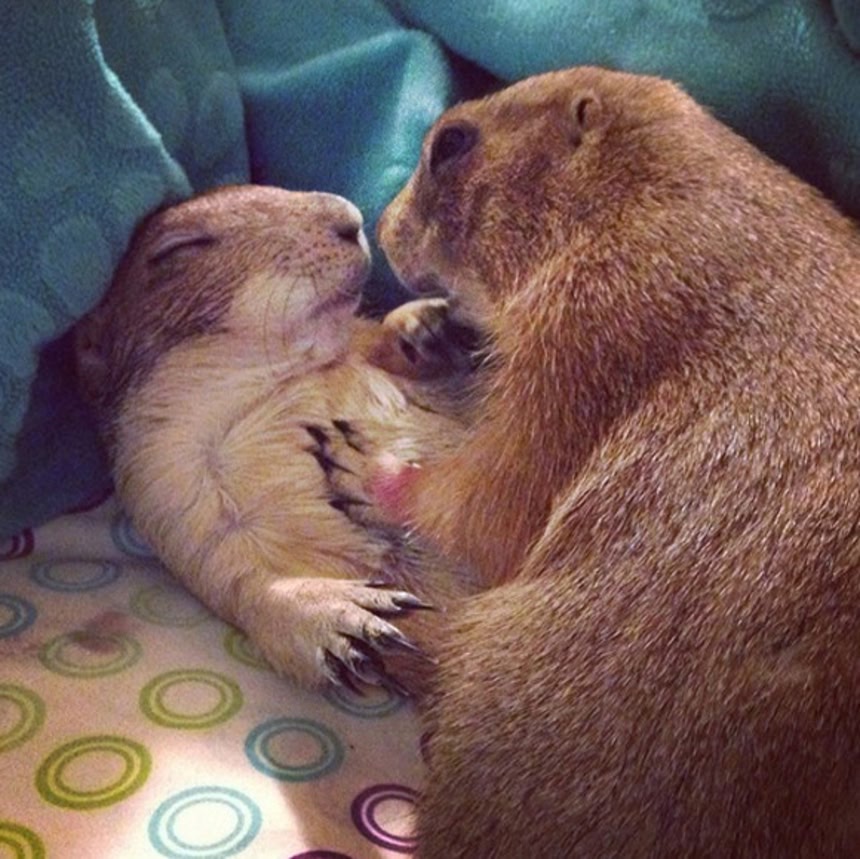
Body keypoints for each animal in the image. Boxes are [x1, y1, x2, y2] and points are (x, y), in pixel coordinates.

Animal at [375, 67, 860, 857]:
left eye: (451, 143)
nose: (380, 227)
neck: (636, 188)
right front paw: (425, 331)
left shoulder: (595, 323)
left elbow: (500, 492)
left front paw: (383, 473)